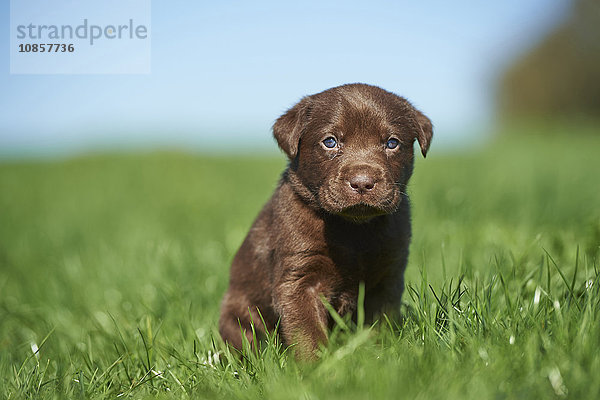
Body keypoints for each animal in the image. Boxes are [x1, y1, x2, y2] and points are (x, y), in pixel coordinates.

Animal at [219, 84, 432, 360]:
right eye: (330, 142)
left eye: (392, 143)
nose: (362, 182)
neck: (353, 231)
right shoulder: (300, 280)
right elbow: (308, 333)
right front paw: (318, 368)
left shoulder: (387, 276)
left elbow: (379, 326)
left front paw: (378, 358)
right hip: (238, 317)